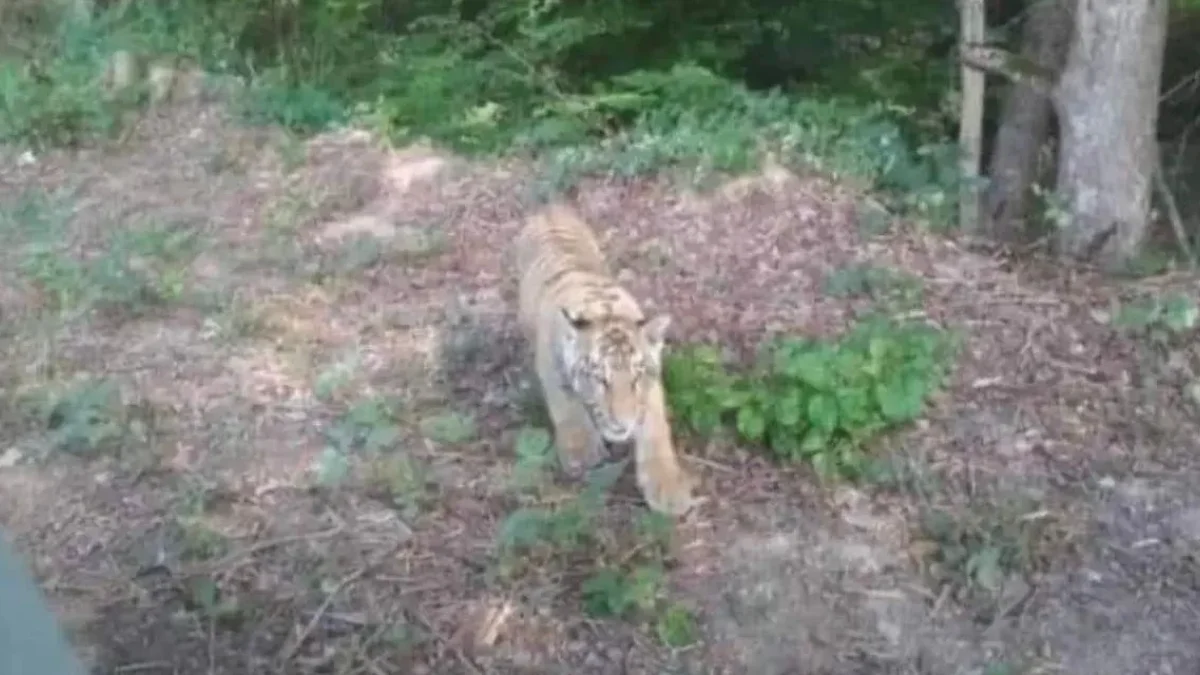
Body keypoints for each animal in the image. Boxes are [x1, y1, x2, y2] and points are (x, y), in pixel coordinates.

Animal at [513, 200, 700, 514]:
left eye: (636, 378)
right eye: (600, 379)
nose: (622, 425)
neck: (603, 310)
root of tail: (548, 207)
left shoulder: (651, 386)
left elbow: (655, 429)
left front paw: (667, 487)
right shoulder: (550, 365)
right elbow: (565, 404)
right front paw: (581, 451)